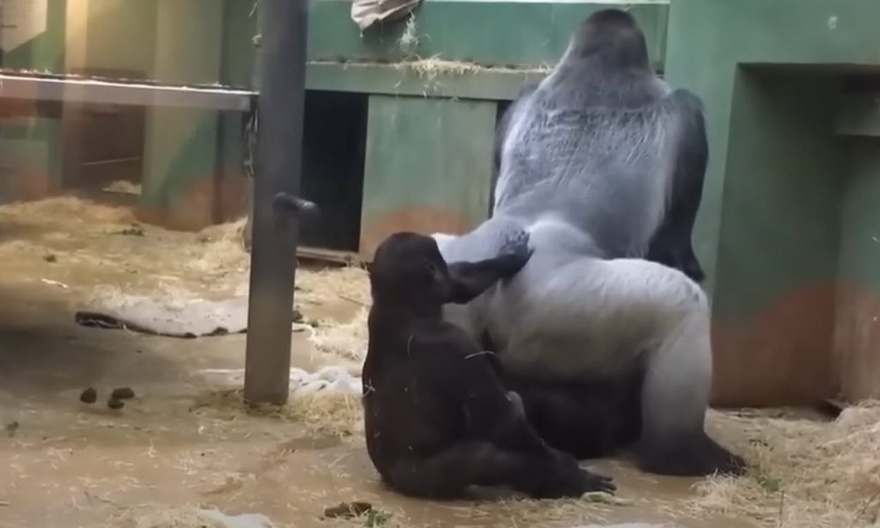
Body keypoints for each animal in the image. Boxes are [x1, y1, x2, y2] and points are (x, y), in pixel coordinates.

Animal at [360, 231, 616, 500]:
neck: (402, 309)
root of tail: (392, 480)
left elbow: (461, 281)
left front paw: (511, 256)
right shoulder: (457, 345)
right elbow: (503, 422)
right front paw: (567, 470)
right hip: (425, 479)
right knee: (491, 459)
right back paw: (554, 480)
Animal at [432, 9, 744, 478]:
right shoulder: (690, 119)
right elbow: (679, 254)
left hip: (454, 274)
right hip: (557, 306)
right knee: (681, 303)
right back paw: (683, 452)